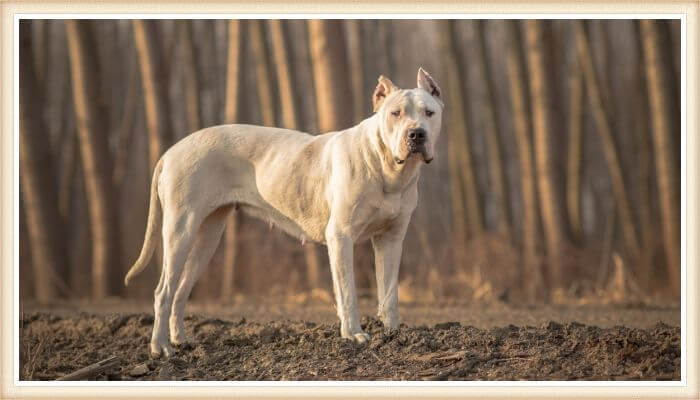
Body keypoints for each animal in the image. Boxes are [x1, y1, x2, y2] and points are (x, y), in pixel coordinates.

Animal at [125, 68, 442, 356]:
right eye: (395, 113)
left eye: (429, 112)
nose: (416, 134)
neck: (387, 167)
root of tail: (171, 152)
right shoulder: (341, 237)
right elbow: (348, 292)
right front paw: (353, 334)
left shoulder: (391, 238)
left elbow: (389, 292)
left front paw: (394, 334)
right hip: (181, 230)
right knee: (163, 291)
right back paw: (160, 347)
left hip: (207, 237)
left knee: (180, 290)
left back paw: (180, 340)